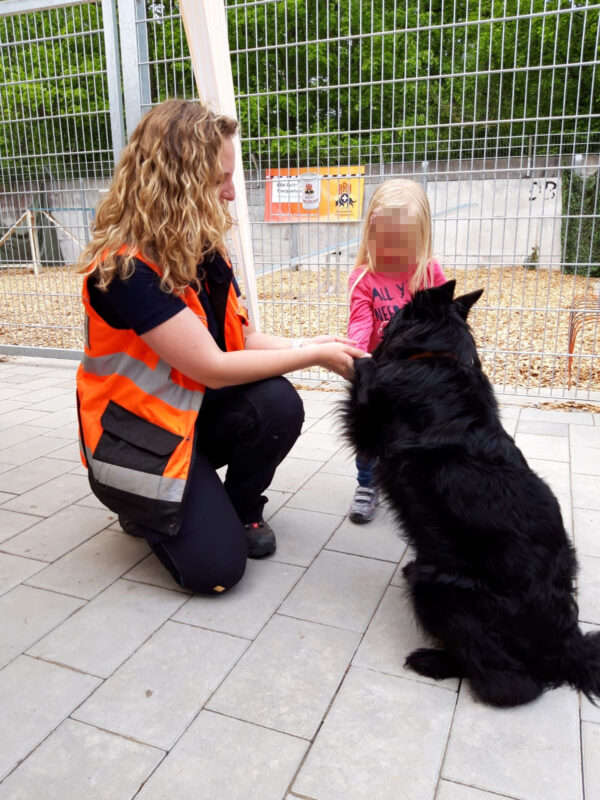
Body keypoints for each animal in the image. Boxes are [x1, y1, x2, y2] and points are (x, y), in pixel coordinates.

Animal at [342, 282, 600, 708]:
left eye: (396, 312)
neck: (436, 354)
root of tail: (566, 642)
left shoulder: (370, 423)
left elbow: (365, 373)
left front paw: (359, 358)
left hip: (440, 585)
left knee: (510, 684)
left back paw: (433, 661)